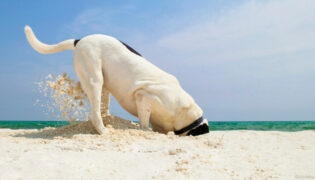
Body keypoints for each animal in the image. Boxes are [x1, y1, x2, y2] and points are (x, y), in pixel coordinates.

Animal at [23, 24, 209, 136]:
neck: (185, 112)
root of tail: (80, 40)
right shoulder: (143, 97)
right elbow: (144, 122)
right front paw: (145, 131)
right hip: (94, 79)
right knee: (95, 113)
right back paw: (103, 131)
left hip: (104, 85)